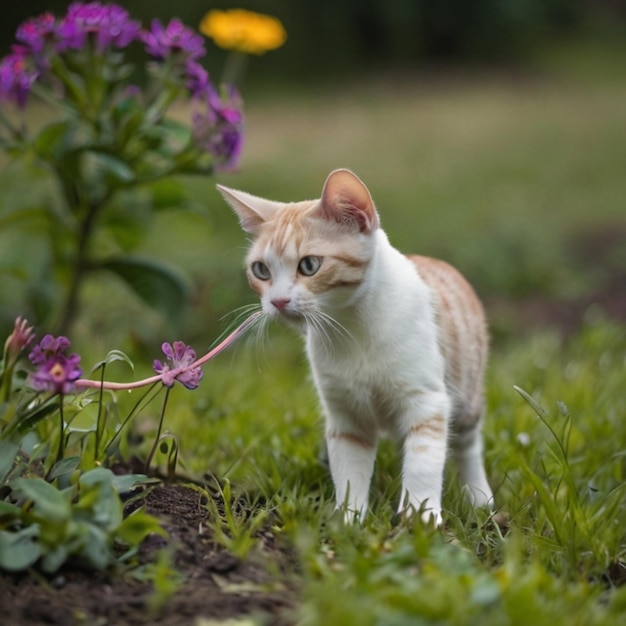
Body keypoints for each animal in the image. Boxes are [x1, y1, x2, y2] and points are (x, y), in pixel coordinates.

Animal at [218, 167, 492, 520]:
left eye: (309, 265)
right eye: (261, 270)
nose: (277, 301)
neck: (351, 328)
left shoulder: (427, 401)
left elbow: (423, 463)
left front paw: (420, 517)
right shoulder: (346, 415)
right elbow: (349, 470)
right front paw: (350, 518)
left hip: (466, 396)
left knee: (467, 446)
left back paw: (480, 498)